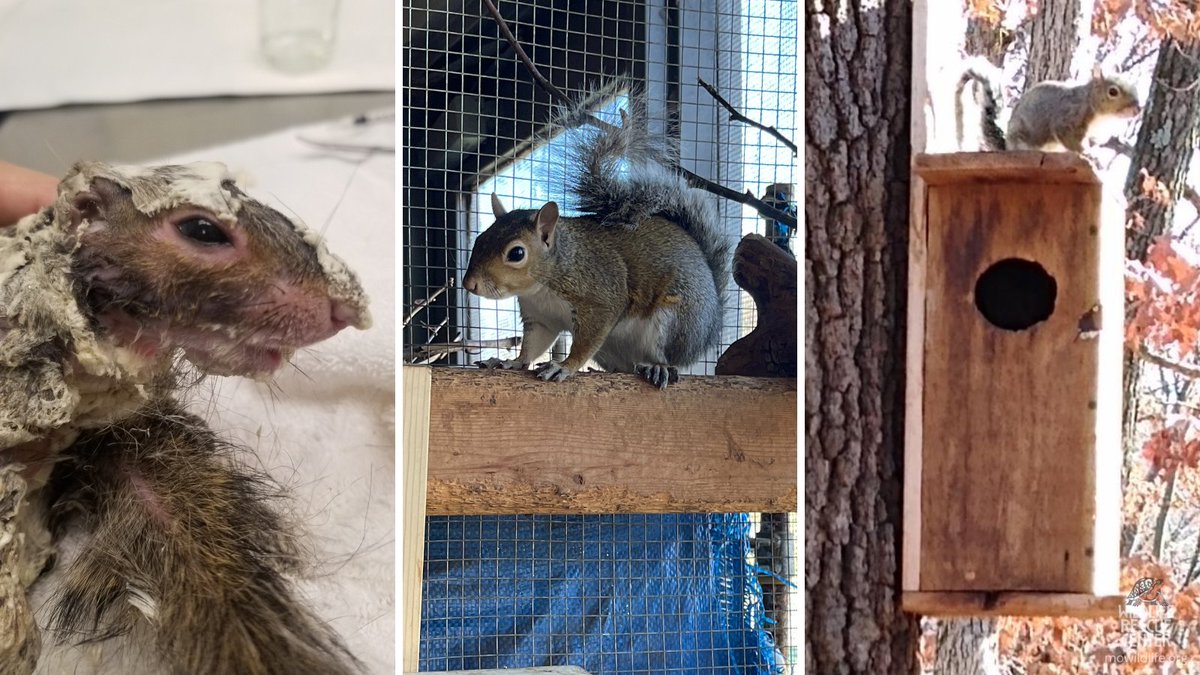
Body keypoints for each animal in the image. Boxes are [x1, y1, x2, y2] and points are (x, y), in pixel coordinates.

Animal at [462, 92, 729, 389]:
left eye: (516, 253)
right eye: (479, 239)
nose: (469, 284)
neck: (543, 286)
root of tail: (710, 326)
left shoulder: (600, 298)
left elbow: (585, 343)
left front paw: (564, 366)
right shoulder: (541, 318)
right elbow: (533, 345)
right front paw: (511, 362)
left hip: (674, 321)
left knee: (670, 357)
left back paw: (658, 367)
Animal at [955, 60, 1141, 153]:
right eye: (1113, 92)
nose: (1137, 109)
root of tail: (1007, 147)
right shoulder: (1067, 117)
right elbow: (1066, 136)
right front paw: (1088, 155)